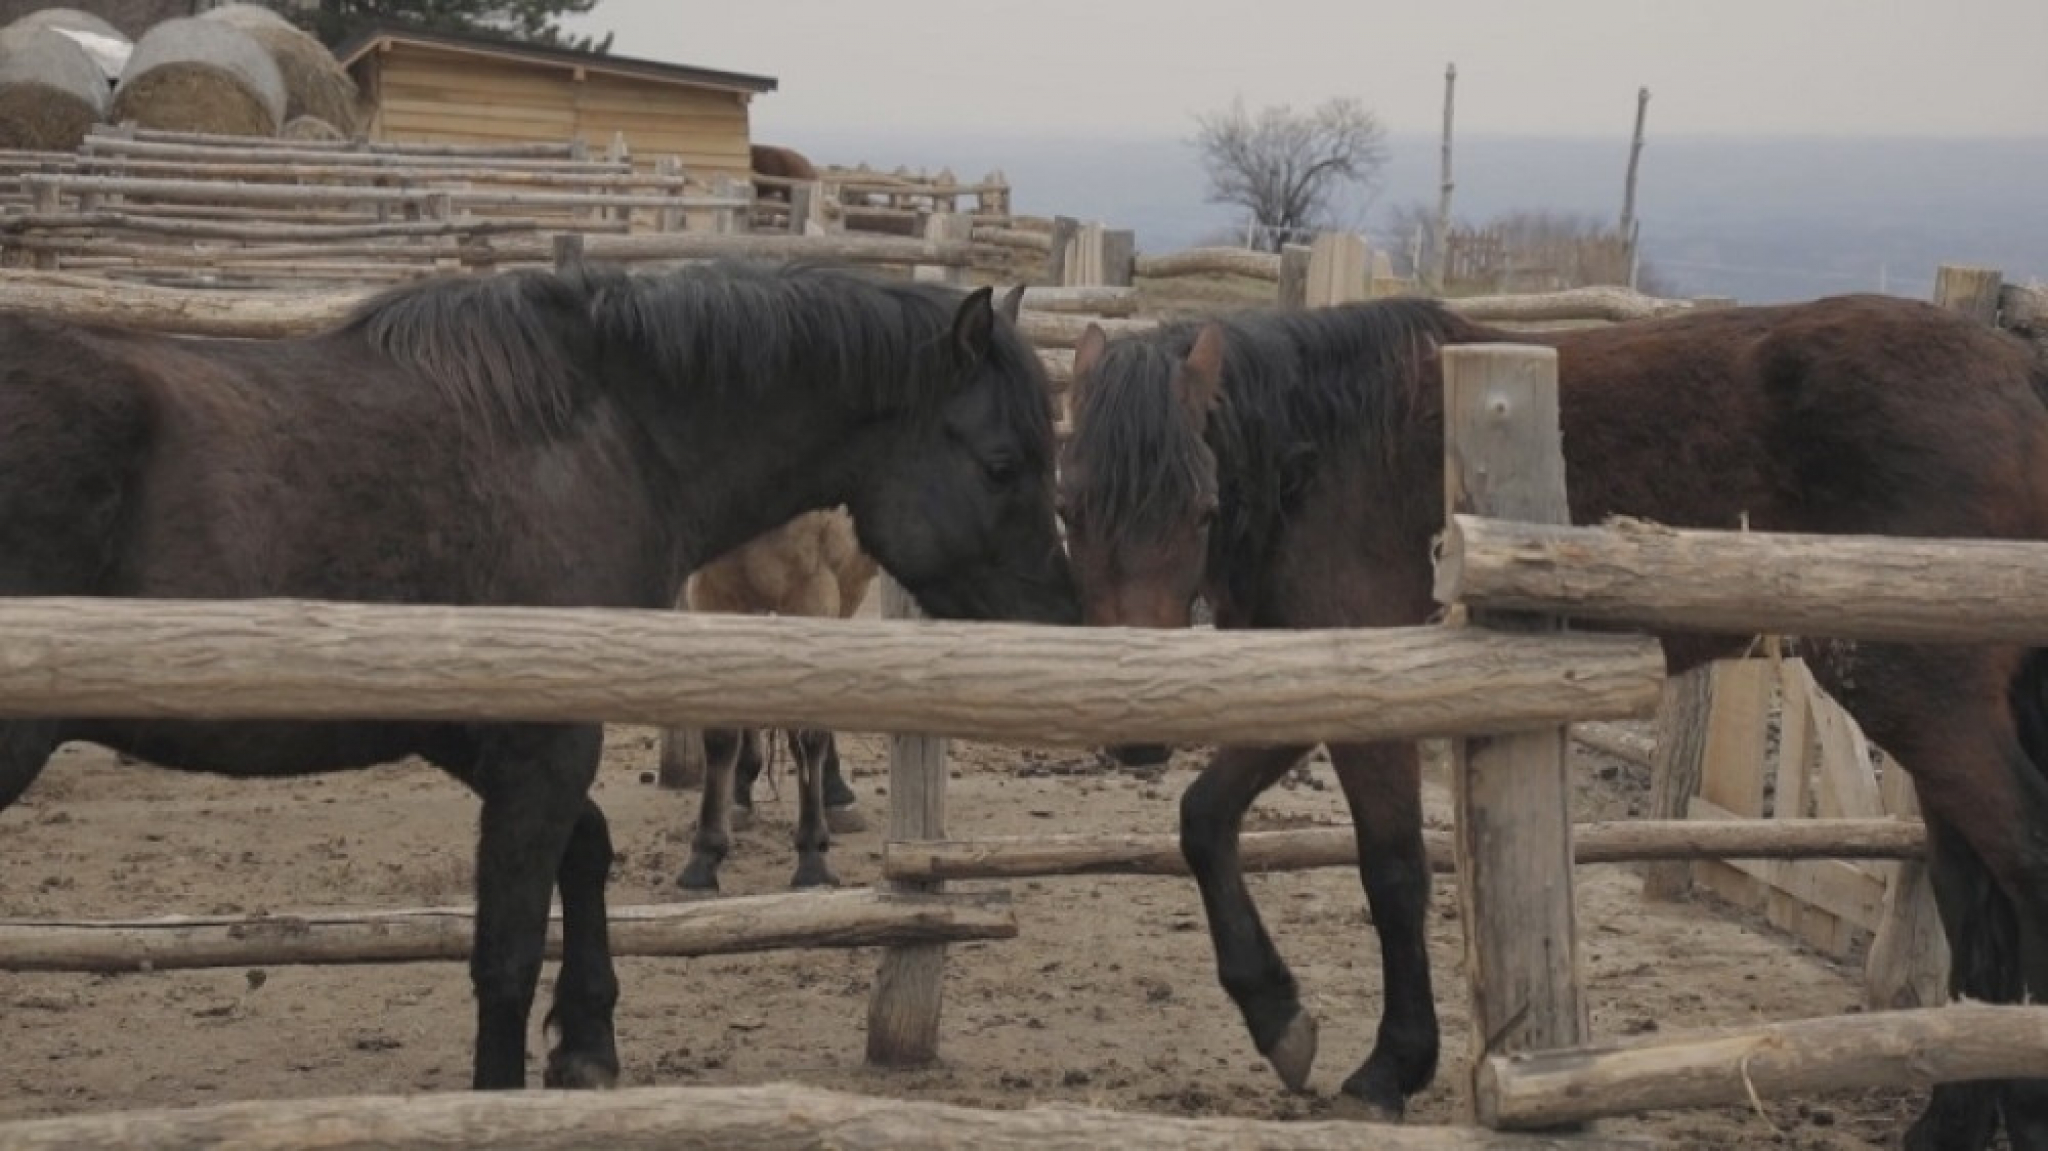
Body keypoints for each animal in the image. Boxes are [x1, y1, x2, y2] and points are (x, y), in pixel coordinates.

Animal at [0, 262, 1081, 1089]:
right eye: (1001, 463)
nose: (1061, 627)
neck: (596, 433)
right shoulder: (540, 738)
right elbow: (508, 950)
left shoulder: (490, 731)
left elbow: (586, 850)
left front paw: (587, 1042)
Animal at [1064, 296, 2048, 1146]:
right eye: (1072, 506)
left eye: (1200, 506)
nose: (1135, 735)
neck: (1326, 456)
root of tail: (2018, 371)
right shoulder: (1316, 685)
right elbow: (1203, 820)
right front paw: (1277, 1017)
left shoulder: (1373, 704)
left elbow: (1393, 874)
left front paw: (1390, 1067)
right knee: (1975, 907)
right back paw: (1951, 1120)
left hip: (1920, 696)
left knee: (2025, 863)